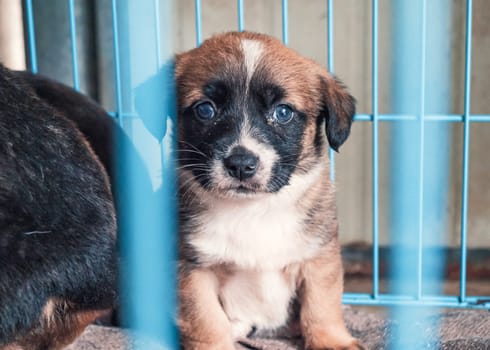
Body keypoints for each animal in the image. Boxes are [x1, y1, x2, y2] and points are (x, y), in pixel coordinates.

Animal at [176, 31, 364, 348]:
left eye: (283, 112)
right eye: (205, 110)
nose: (241, 165)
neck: (254, 210)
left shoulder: (319, 258)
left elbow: (321, 305)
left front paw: (330, 341)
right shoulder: (192, 268)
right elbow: (206, 321)